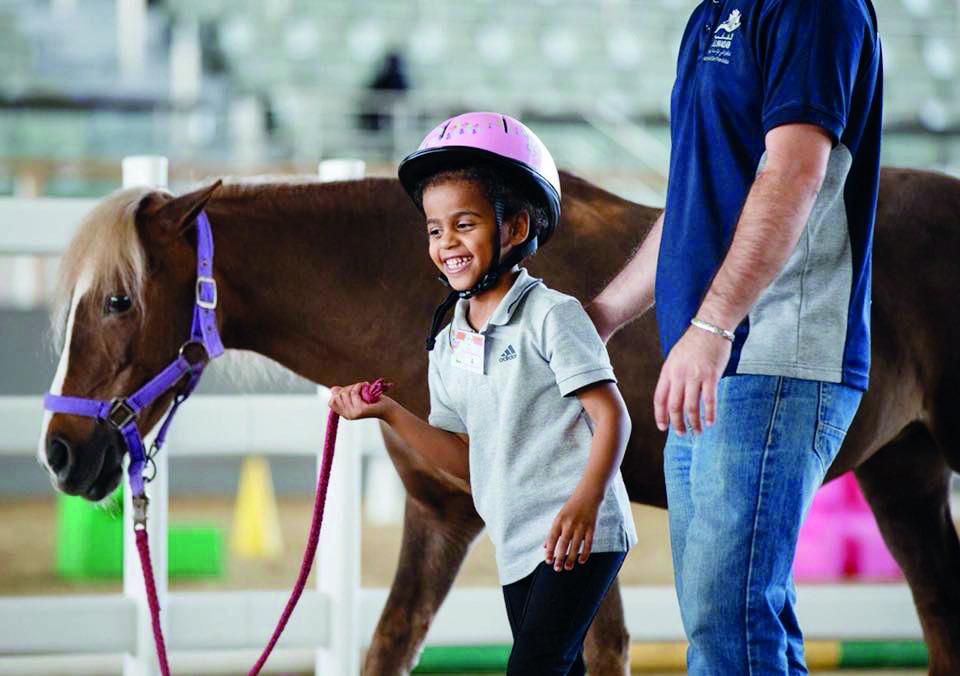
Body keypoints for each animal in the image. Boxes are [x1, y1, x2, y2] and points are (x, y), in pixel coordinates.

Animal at [41, 169, 960, 676]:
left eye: (118, 300)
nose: (59, 452)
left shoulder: (582, 528)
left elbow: (600, 651)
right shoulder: (442, 514)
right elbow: (388, 647)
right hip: (905, 479)